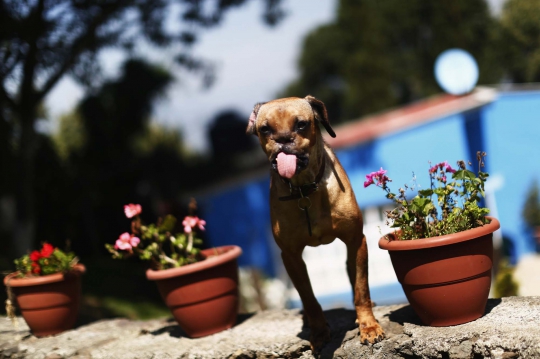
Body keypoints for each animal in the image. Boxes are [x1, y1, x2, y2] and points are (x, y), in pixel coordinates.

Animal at [247, 95, 386, 352]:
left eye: (301, 124)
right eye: (265, 129)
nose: (283, 139)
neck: (304, 188)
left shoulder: (356, 241)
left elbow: (361, 289)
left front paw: (369, 326)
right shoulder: (291, 256)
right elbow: (309, 298)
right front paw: (319, 332)